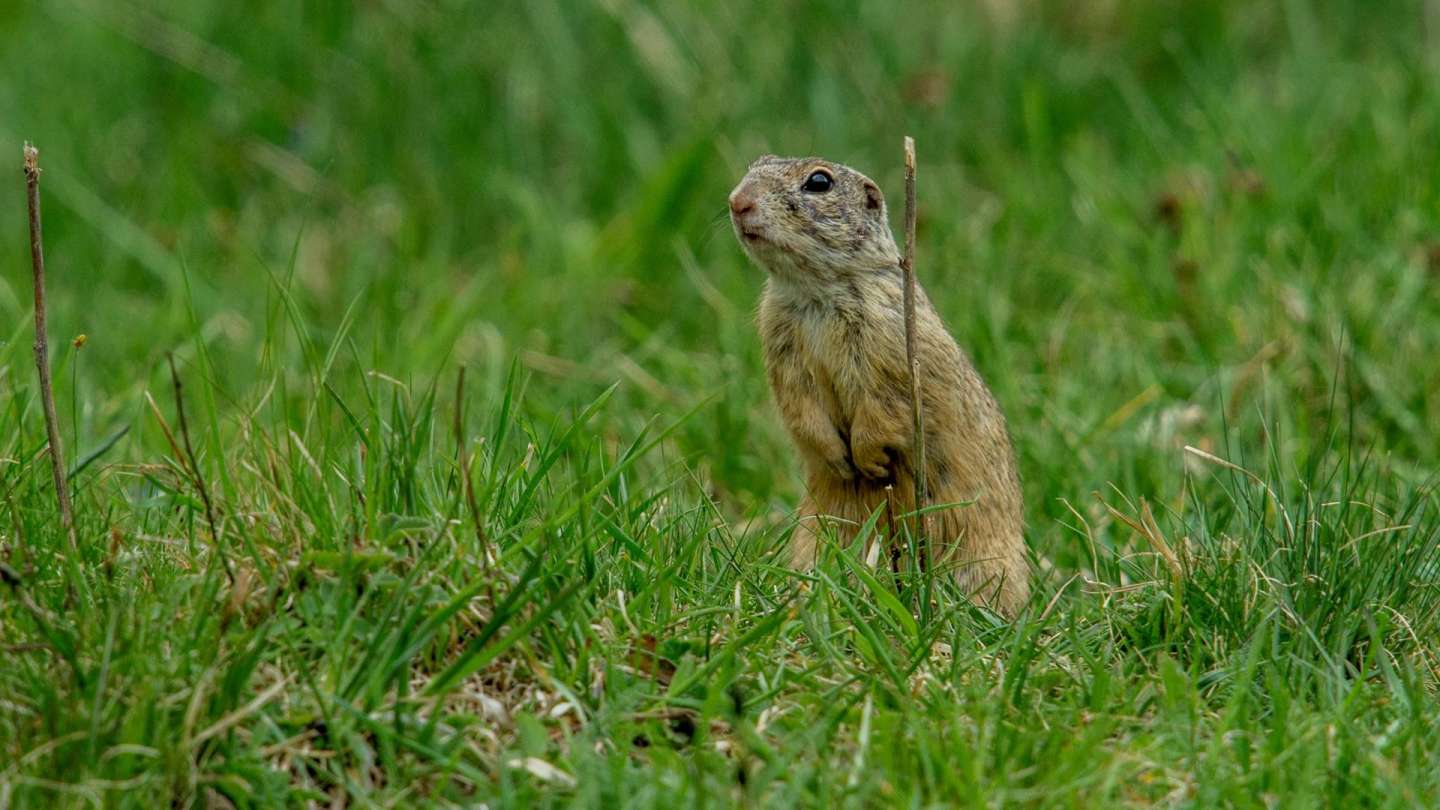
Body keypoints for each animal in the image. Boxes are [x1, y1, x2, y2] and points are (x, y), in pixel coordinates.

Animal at [725, 154, 1031, 613]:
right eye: (754, 164)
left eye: (819, 182)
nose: (737, 201)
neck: (816, 293)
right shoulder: (781, 343)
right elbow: (799, 405)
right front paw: (837, 459)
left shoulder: (890, 344)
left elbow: (883, 405)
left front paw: (867, 461)